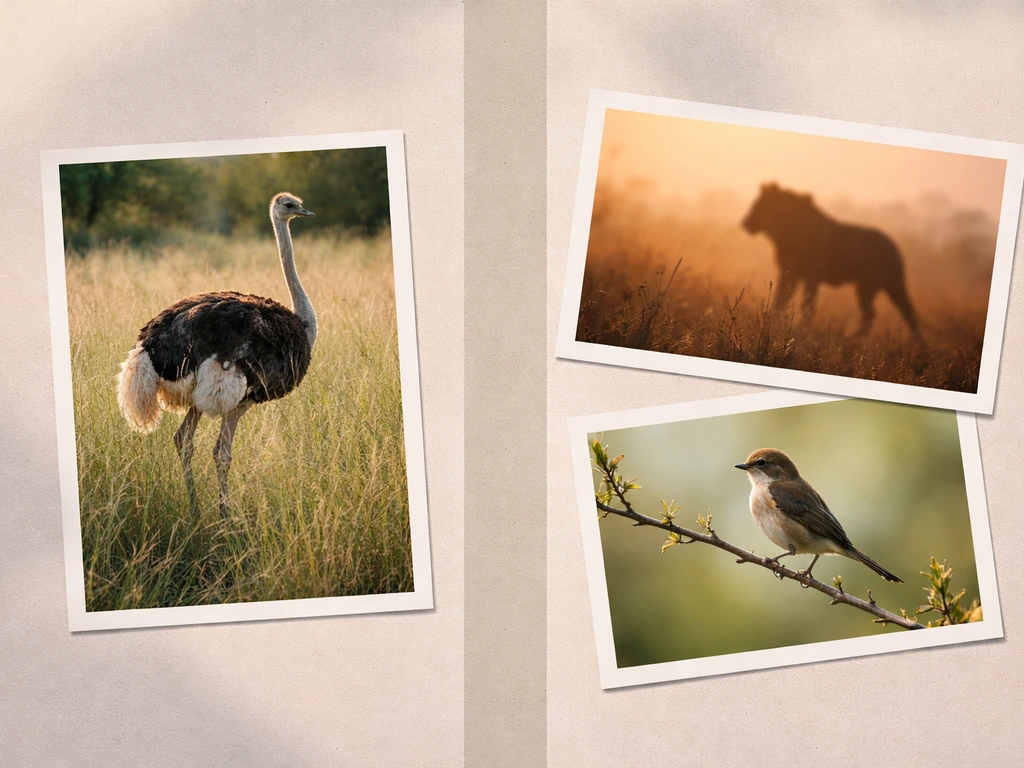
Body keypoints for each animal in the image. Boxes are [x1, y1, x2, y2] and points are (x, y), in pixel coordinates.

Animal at [741, 182, 919, 335]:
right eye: (755, 204)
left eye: (759, 206)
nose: (745, 222)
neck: (785, 235)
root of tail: (894, 247)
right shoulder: (789, 272)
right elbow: (780, 300)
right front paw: (772, 323)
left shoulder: (812, 276)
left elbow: (807, 305)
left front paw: (803, 328)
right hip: (882, 285)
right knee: (896, 314)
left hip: (874, 284)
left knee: (881, 314)